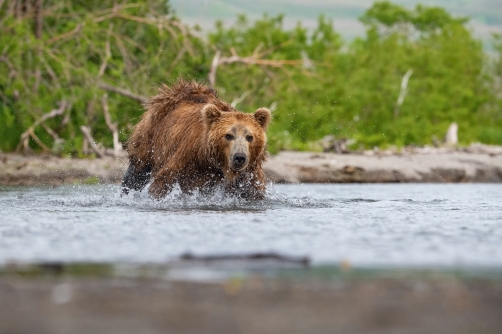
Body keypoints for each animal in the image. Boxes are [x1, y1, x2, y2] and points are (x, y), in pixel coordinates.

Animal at [122, 79, 270, 198]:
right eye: (228, 135)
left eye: (249, 137)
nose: (239, 157)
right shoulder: (187, 160)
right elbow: (163, 183)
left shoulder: (249, 174)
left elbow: (252, 192)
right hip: (149, 139)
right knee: (137, 173)